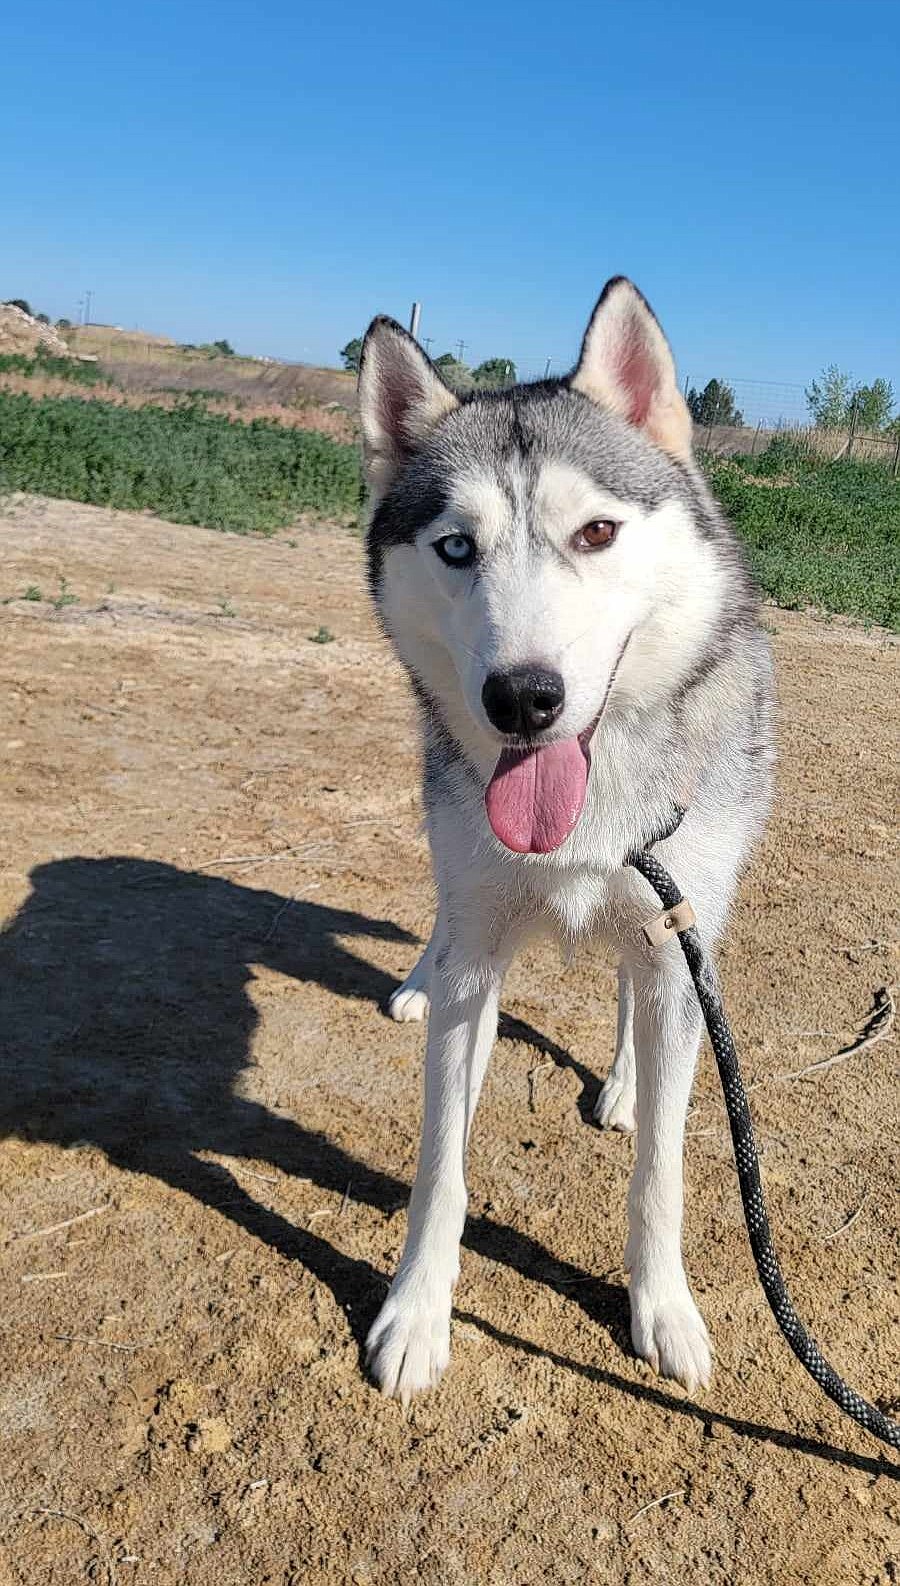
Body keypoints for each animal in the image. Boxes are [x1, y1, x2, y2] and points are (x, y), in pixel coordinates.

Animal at [357, 282, 774, 1402]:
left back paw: (626, 1082)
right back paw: (414, 981)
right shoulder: (479, 956)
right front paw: (417, 1313)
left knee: (637, 991)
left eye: (596, 532)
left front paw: (663, 1310)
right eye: (456, 547)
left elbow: (663, 1173)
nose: (522, 698)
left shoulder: (677, 933)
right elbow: (441, 1167)